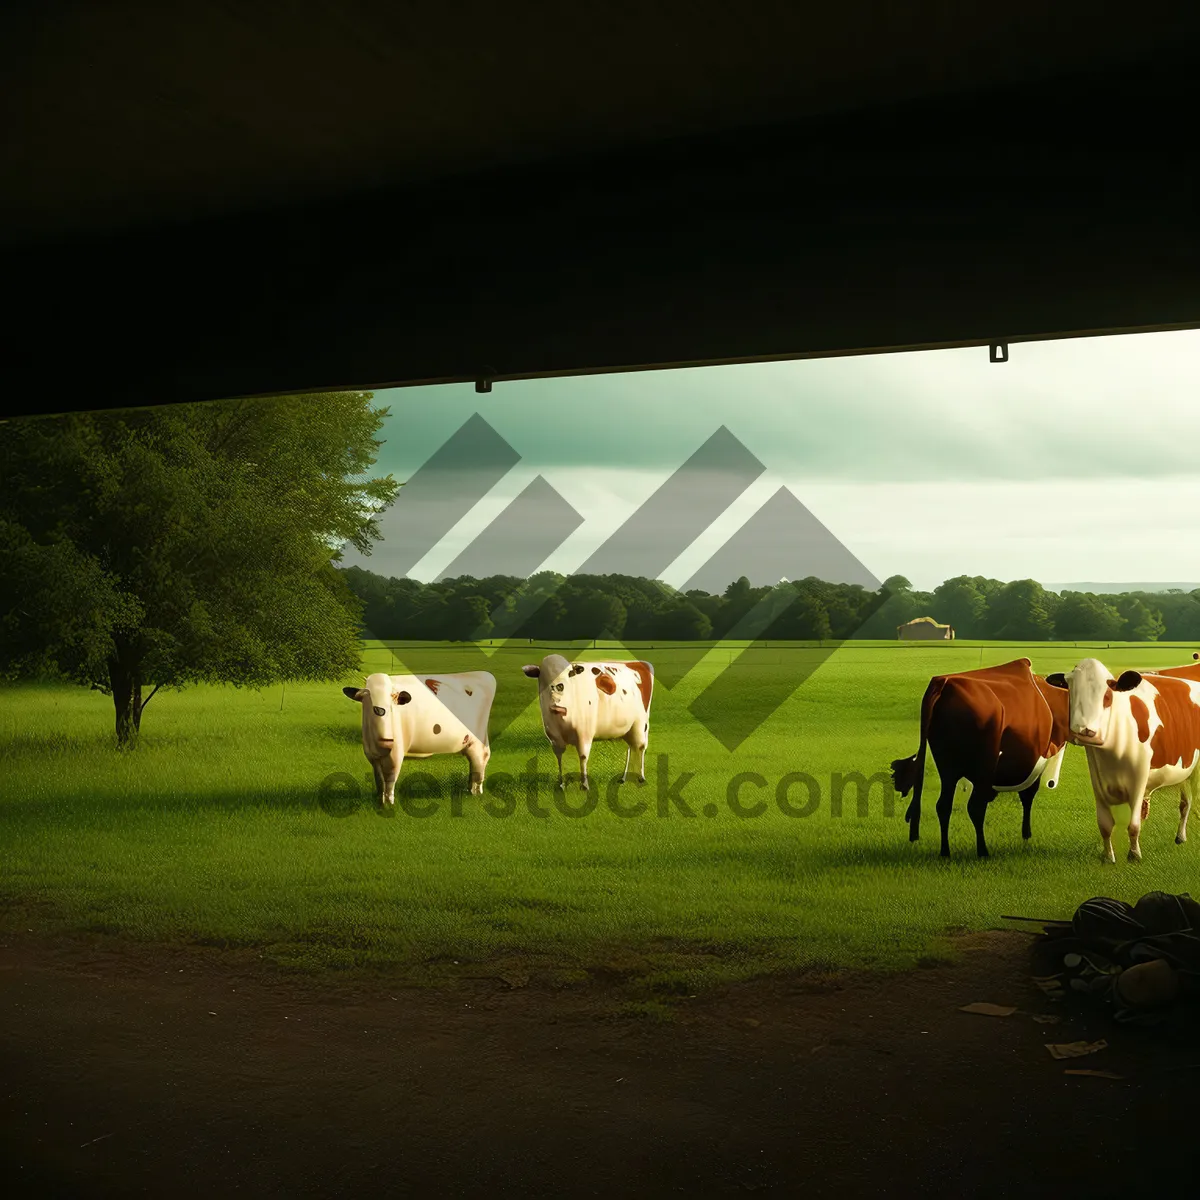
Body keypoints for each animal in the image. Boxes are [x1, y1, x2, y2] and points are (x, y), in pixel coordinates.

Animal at [343, 676, 496, 806]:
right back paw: (468, 790)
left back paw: (475, 793)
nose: (387, 740)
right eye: (367, 698)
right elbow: (379, 780)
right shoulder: (372, 756)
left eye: (392, 702)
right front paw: (378, 800)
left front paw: (389, 803)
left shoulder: (395, 754)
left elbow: (390, 779)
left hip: (478, 744)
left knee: (479, 763)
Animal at [523, 652, 657, 792]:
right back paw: (623, 778)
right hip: (628, 729)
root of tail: (638, 663)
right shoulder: (554, 737)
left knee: (641, 747)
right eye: (543, 676)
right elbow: (559, 757)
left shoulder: (584, 733)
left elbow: (583, 757)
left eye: (569, 674)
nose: (557, 688)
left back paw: (641, 777)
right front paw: (561, 783)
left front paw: (584, 785)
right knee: (630, 747)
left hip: (641, 724)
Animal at [888, 657, 1075, 864]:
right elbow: (1028, 795)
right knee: (975, 806)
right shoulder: (1035, 761)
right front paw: (1026, 835)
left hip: (947, 768)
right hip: (984, 764)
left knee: (943, 805)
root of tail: (943, 683)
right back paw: (982, 850)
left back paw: (945, 851)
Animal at [1041, 657, 1200, 864]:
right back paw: (1180, 837)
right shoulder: (1097, 781)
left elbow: (1133, 825)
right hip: (1185, 771)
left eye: (1108, 694)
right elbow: (1104, 825)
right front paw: (1109, 857)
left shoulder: (1138, 781)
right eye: (1071, 690)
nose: (1083, 730)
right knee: (1185, 803)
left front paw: (1134, 855)